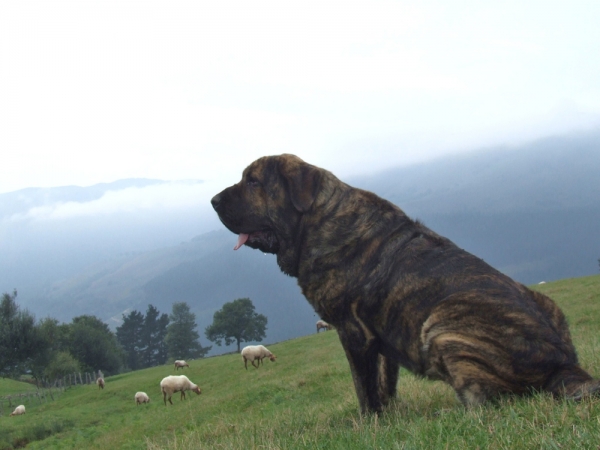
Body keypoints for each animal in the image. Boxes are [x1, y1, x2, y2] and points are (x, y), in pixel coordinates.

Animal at [211, 153, 600, 414]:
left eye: (253, 182)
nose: (213, 201)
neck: (316, 221)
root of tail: (564, 363)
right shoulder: (378, 336)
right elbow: (385, 383)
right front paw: (391, 417)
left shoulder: (353, 332)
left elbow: (364, 386)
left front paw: (369, 423)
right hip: (546, 303)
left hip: (443, 325)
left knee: (493, 402)